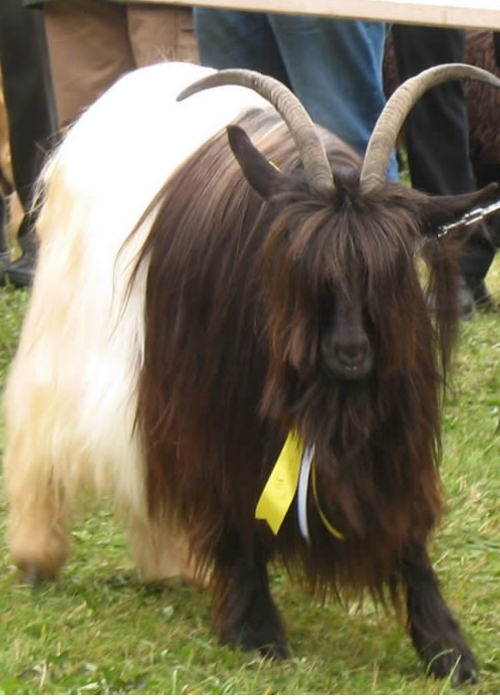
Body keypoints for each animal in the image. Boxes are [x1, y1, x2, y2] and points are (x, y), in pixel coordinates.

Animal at [3, 60, 500, 684]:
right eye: (304, 264)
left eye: (388, 269)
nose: (349, 353)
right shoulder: (223, 419)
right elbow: (238, 512)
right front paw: (256, 629)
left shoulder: (392, 426)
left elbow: (406, 529)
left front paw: (448, 649)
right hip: (73, 337)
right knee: (41, 428)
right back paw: (37, 555)